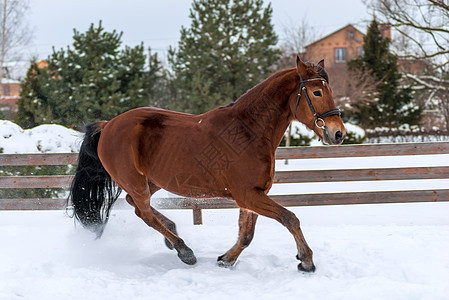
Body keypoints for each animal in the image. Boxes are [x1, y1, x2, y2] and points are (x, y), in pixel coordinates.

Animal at [68, 56, 344, 272]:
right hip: (135, 181)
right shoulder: (247, 195)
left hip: (152, 180)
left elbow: (246, 234)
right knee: (144, 213)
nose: (338, 133)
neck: (247, 132)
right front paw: (306, 261)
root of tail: (108, 126)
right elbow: (290, 218)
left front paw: (226, 260)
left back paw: (172, 234)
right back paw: (183, 250)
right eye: (317, 92)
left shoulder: (254, 195)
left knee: (135, 206)